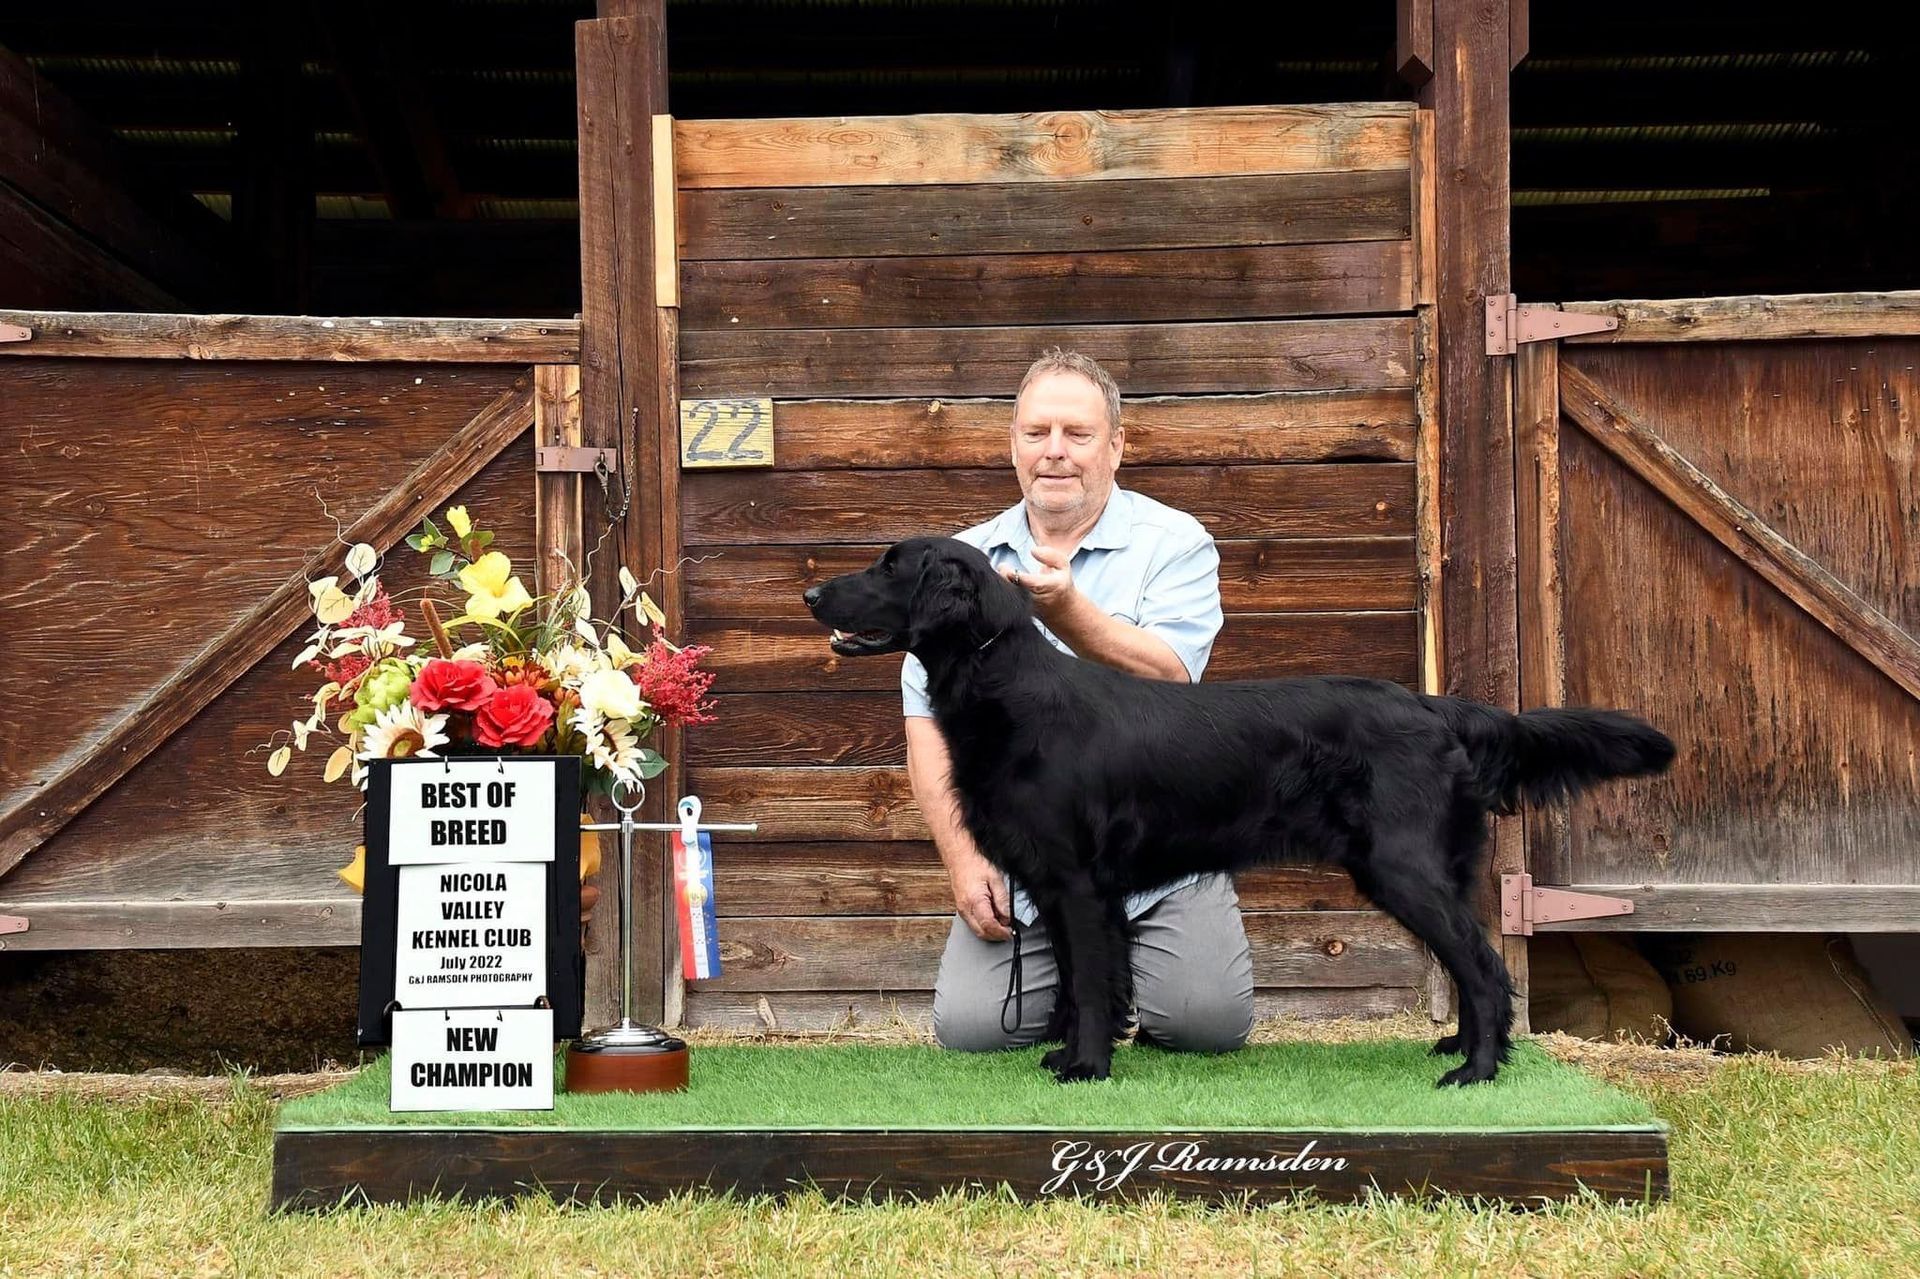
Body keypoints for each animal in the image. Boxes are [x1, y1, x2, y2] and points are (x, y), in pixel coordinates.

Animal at [802, 537, 1674, 1083]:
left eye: (889, 565)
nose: (809, 590)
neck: (1007, 686)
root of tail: (1433, 704)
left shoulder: (1078, 883)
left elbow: (1090, 983)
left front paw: (1084, 1067)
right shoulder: (1054, 885)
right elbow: (1083, 984)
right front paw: (1063, 1054)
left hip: (1404, 868)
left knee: (1486, 966)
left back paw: (1479, 1069)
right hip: (1429, 871)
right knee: (1470, 962)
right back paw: (1458, 1044)